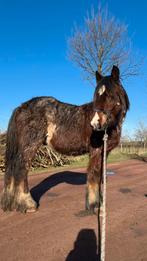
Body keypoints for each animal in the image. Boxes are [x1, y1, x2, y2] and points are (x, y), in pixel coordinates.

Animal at [0, 65, 129, 211]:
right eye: (97, 95)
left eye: (111, 96)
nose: (95, 123)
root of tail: (21, 107)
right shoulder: (96, 151)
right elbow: (94, 176)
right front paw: (93, 205)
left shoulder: (104, 152)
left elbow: (100, 176)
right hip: (29, 146)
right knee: (21, 170)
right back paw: (28, 204)